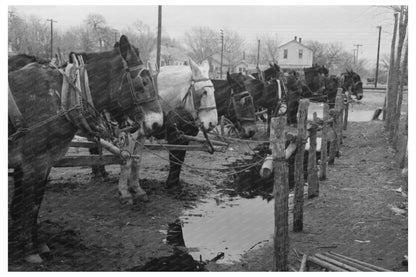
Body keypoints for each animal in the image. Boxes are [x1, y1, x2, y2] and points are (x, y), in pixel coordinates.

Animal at [115, 57, 216, 202]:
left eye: (214, 91)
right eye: (203, 92)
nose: (213, 123)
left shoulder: (144, 134)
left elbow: (137, 160)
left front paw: (137, 189)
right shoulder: (131, 134)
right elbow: (126, 161)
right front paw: (124, 192)